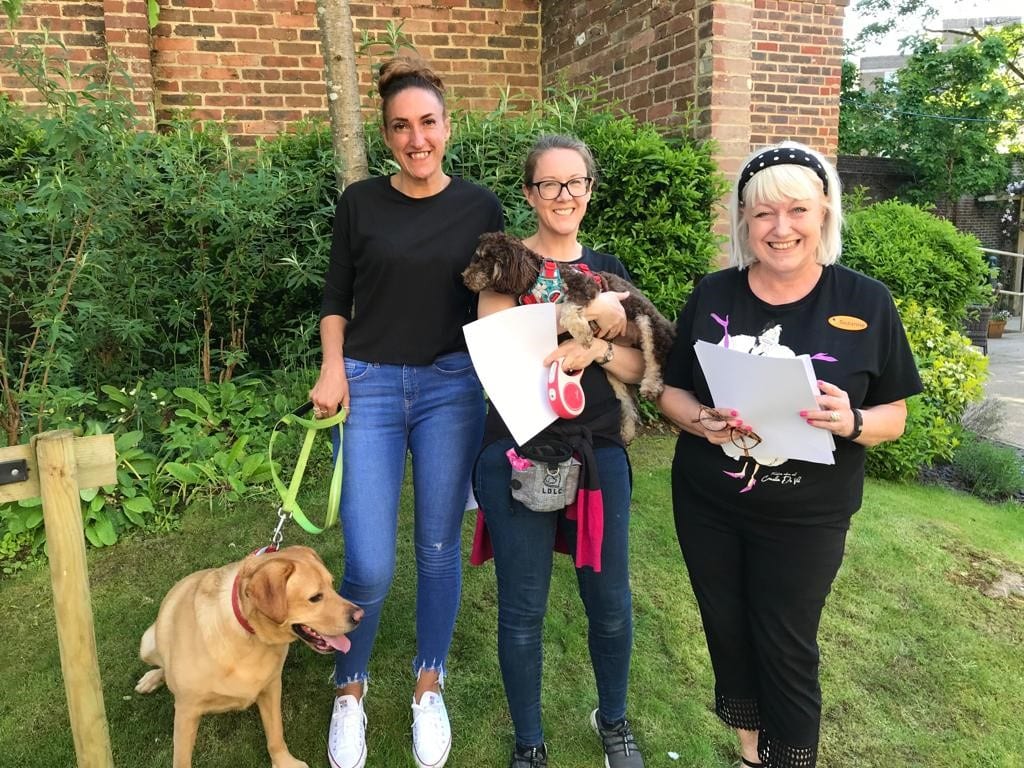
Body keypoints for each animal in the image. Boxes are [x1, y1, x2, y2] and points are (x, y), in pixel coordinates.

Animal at [134, 548, 362, 768]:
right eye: (315, 597)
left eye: (332, 585)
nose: (360, 615)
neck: (250, 636)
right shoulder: (185, 711)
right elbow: (181, 759)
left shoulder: (271, 688)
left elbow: (276, 733)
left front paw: (284, 762)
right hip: (146, 643)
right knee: (162, 665)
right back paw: (151, 679)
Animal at [466, 231, 679, 442]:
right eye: (477, 257)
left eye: (488, 260)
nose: (465, 278)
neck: (537, 278)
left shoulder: (585, 287)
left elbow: (569, 309)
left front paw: (581, 331)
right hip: (613, 374)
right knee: (626, 400)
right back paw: (627, 430)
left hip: (648, 322)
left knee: (656, 356)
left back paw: (651, 385)